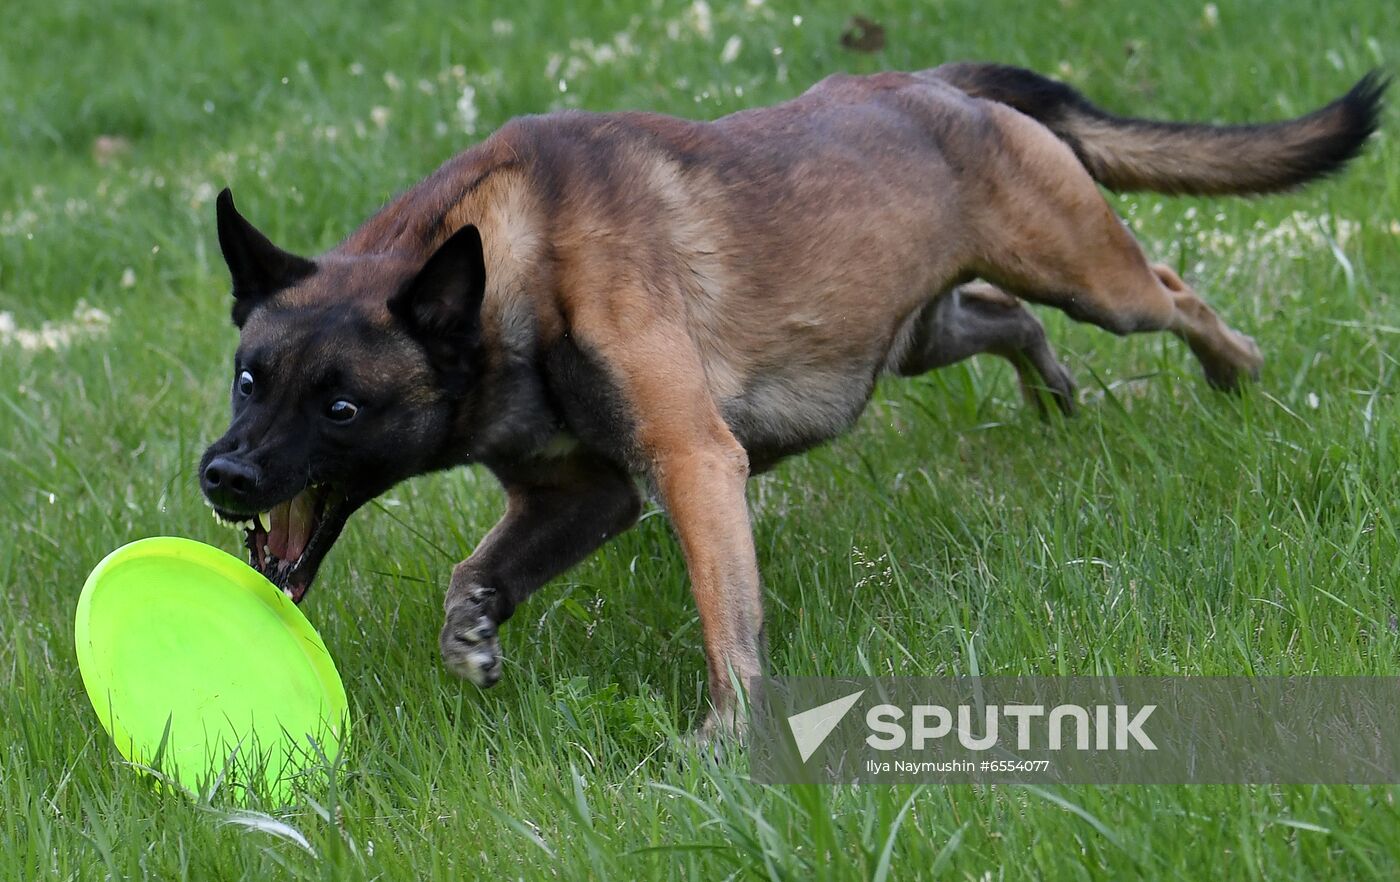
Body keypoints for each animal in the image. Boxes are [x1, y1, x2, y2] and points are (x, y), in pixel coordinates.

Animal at [203, 64, 1383, 739]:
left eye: (342, 408)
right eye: (250, 377)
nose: (222, 476)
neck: (509, 265)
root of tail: (931, 82)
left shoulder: (690, 466)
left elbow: (725, 618)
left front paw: (726, 738)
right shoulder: (581, 497)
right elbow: (473, 574)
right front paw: (473, 638)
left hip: (1092, 278)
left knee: (1170, 294)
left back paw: (1235, 373)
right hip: (909, 341)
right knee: (1008, 319)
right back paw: (1054, 393)